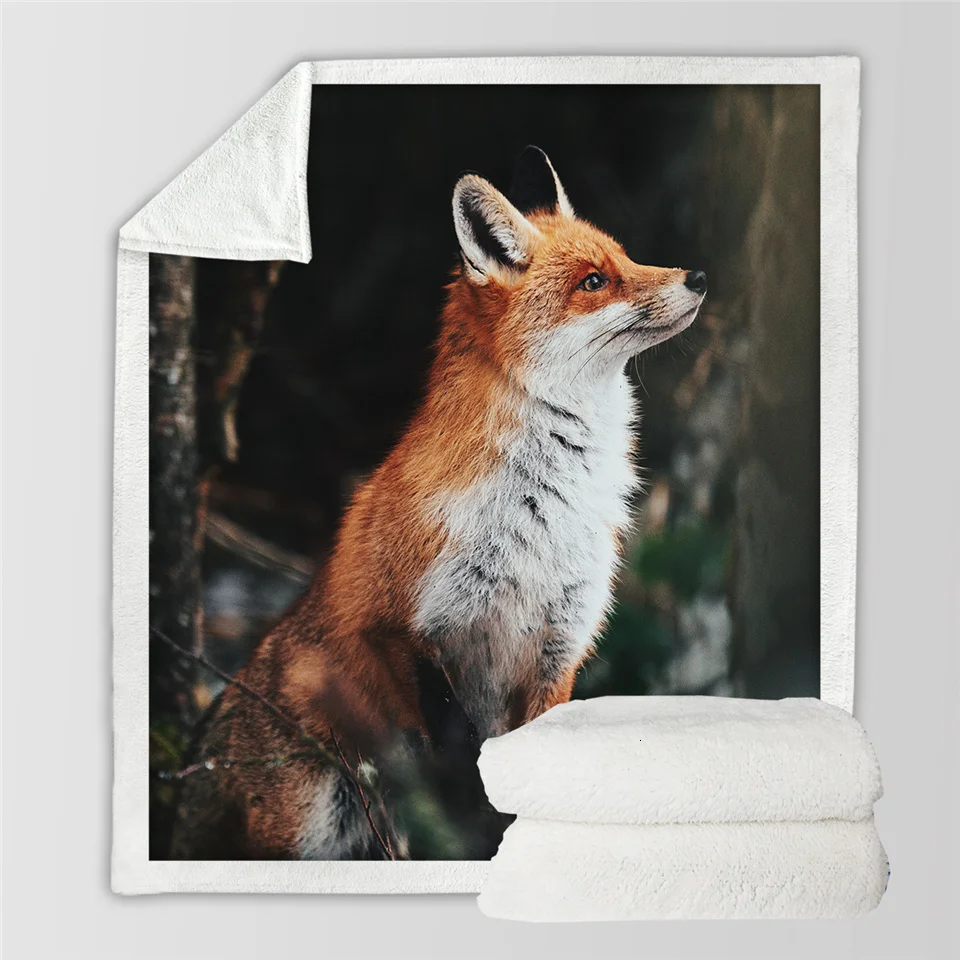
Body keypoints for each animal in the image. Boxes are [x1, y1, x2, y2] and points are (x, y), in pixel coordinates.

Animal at [171, 146, 706, 860]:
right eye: (595, 281)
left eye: (627, 257)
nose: (698, 276)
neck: (542, 513)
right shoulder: (400, 626)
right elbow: (458, 764)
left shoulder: (560, 645)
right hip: (314, 821)